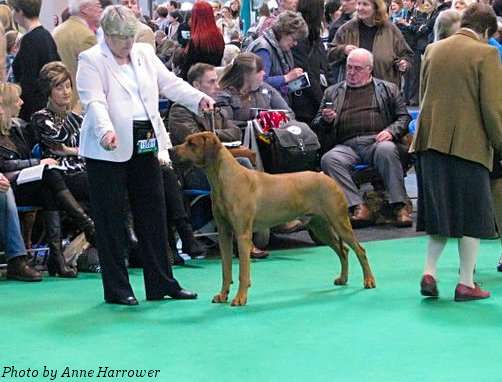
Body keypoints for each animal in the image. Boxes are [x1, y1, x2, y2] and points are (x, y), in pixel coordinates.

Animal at [175, 133, 374, 306]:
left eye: (191, 144)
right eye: (186, 141)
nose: (171, 150)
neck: (224, 179)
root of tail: (329, 178)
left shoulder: (242, 235)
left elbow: (243, 273)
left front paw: (240, 298)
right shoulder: (224, 234)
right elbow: (226, 270)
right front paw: (223, 295)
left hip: (338, 221)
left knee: (359, 250)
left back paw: (369, 280)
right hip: (320, 226)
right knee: (344, 250)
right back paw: (343, 278)